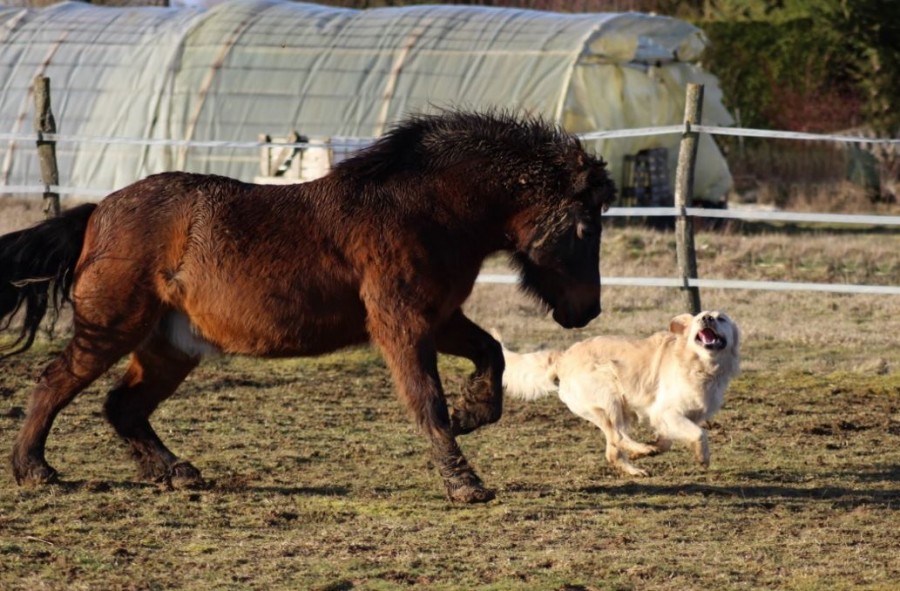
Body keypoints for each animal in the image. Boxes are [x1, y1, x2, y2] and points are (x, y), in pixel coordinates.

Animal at [0, 110, 615, 503]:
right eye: (586, 227)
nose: (586, 310)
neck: (424, 209)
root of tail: (98, 211)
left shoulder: (439, 318)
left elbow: (492, 355)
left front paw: (472, 414)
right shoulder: (402, 325)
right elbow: (427, 401)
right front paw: (464, 482)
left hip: (169, 347)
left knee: (122, 407)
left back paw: (174, 473)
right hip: (111, 328)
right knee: (54, 381)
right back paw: (36, 471)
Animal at [499, 311, 740, 476]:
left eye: (721, 318)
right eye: (700, 317)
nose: (707, 318)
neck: (700, 365)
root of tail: (563, 357)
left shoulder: (680, 417)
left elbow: (667, 442)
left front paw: (654, 448)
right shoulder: (666, 412)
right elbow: (700, 434)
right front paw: (702, 457)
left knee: (613, 450)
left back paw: (636, 465)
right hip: (609, 395)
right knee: (617, 437)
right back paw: (642, 449)